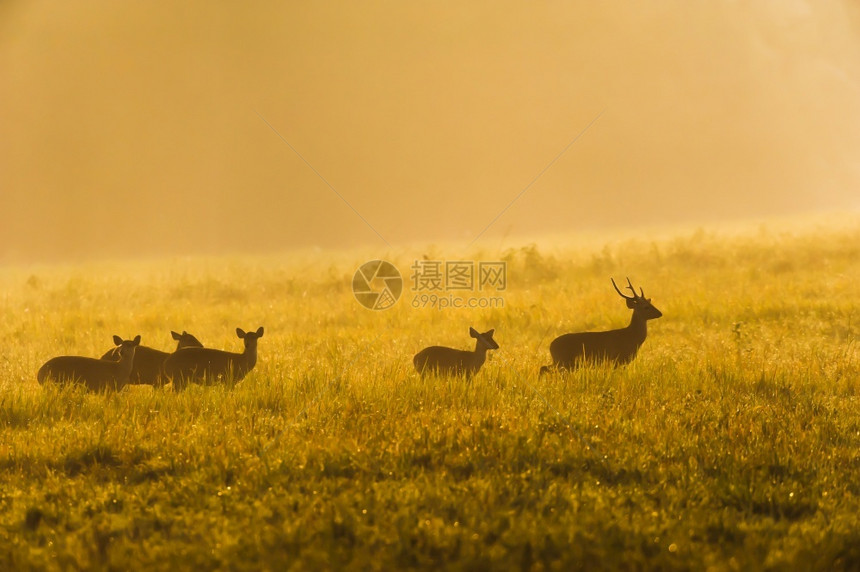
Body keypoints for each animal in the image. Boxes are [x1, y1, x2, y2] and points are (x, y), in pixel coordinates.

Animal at [536, 278, 664, 376]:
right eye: (646, 307)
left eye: (651, 303)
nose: (660, 313)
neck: (632, 337)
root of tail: (551, 346)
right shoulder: (617, 359)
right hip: (563, 361)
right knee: (545, 369)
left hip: (562, 362)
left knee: (543, 367)